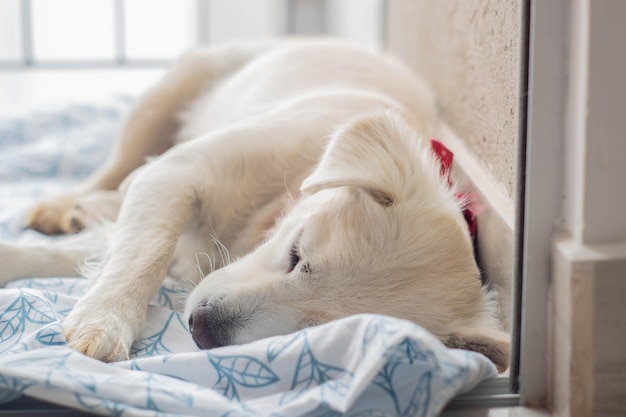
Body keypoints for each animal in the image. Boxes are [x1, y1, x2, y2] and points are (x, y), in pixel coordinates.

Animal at [0, 38, 508, 370]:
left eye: (312, 330)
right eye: (296, 254)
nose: (201, 328)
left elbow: (103, 251)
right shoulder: (172, 174)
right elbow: (143, 251)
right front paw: (104, 322)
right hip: (164, 99)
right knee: (111, 174)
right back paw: (65, 205)